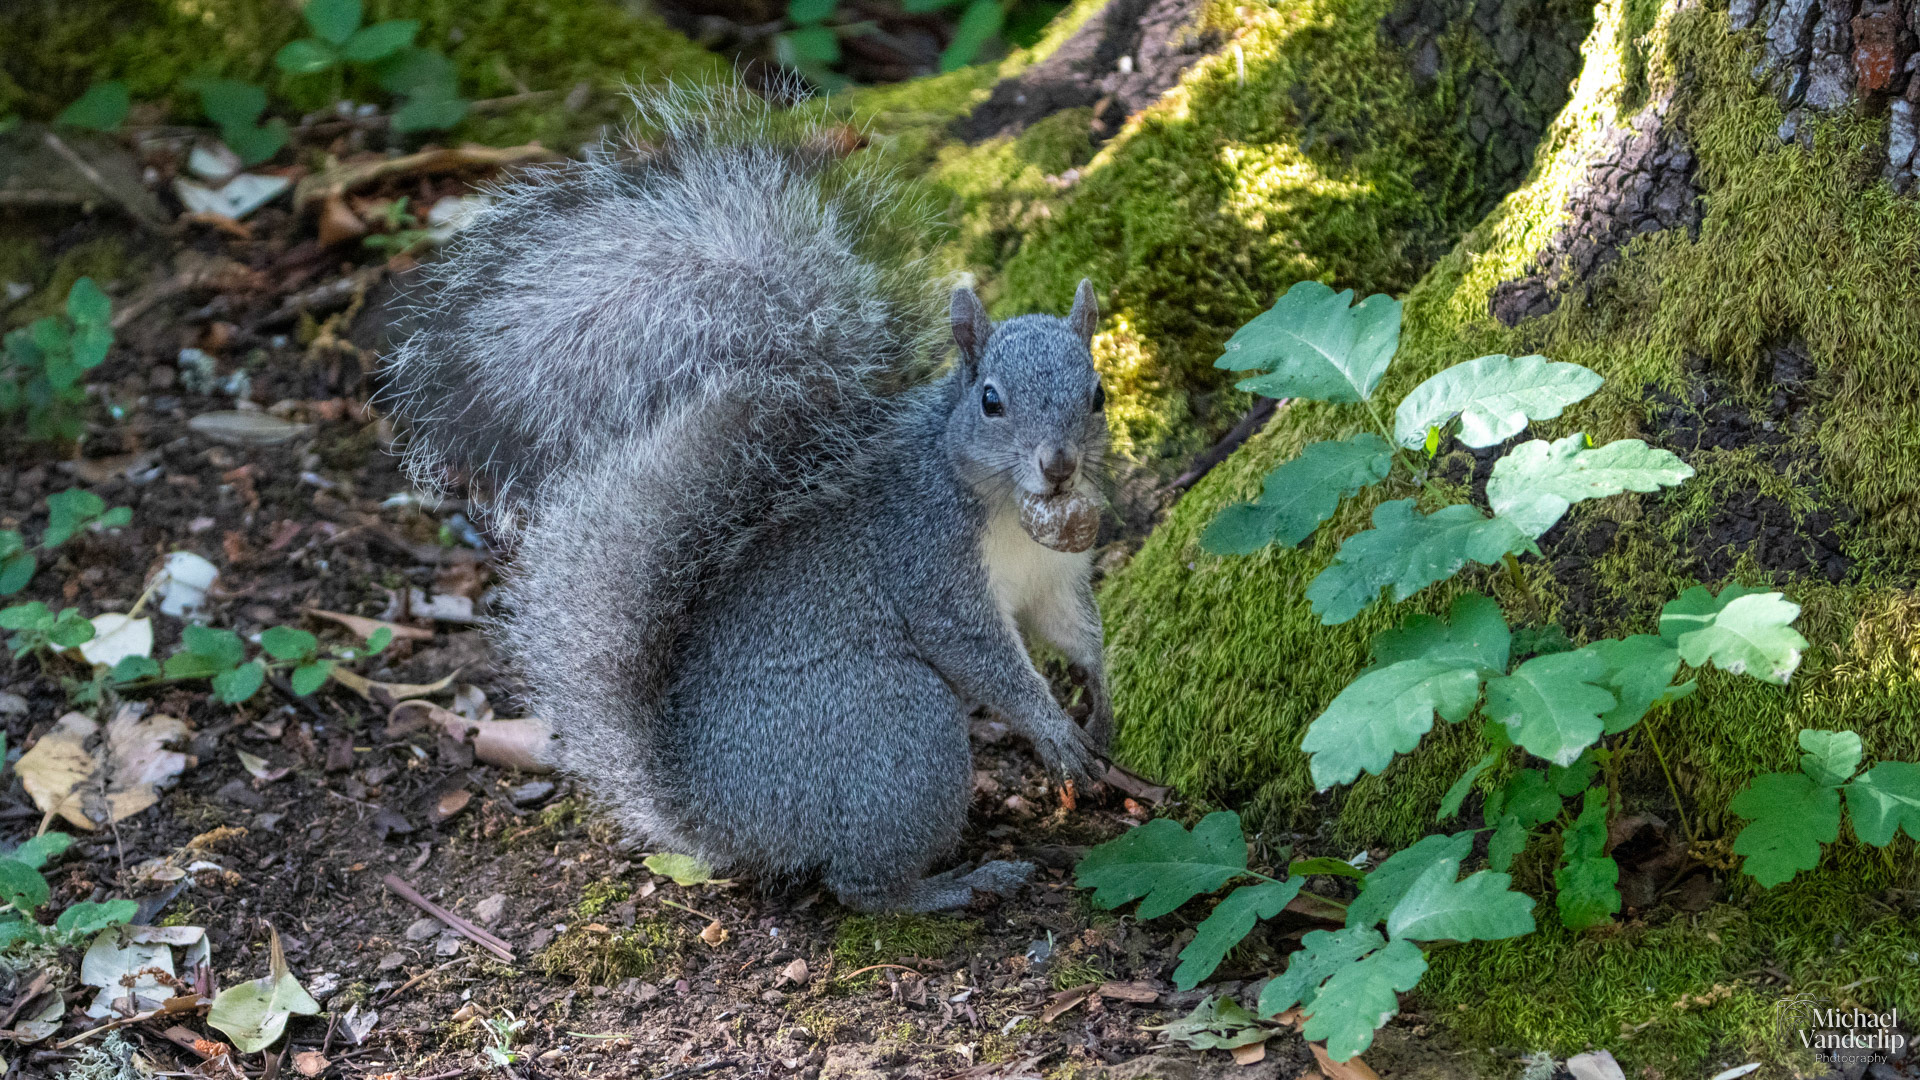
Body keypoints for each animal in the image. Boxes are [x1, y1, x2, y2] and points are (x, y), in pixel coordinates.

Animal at [380, 84, 1114, 912]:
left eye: (1098, 394)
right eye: (990, 401)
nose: (1058, 467)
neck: (1010, 514)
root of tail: (717, 816)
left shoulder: (1057, 574)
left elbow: (1073, 630)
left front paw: (1101, 699)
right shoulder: (926, 558)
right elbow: (981, 655)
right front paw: (1050, 729)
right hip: (898, 725)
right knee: (860, 884)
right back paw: (957, 884)